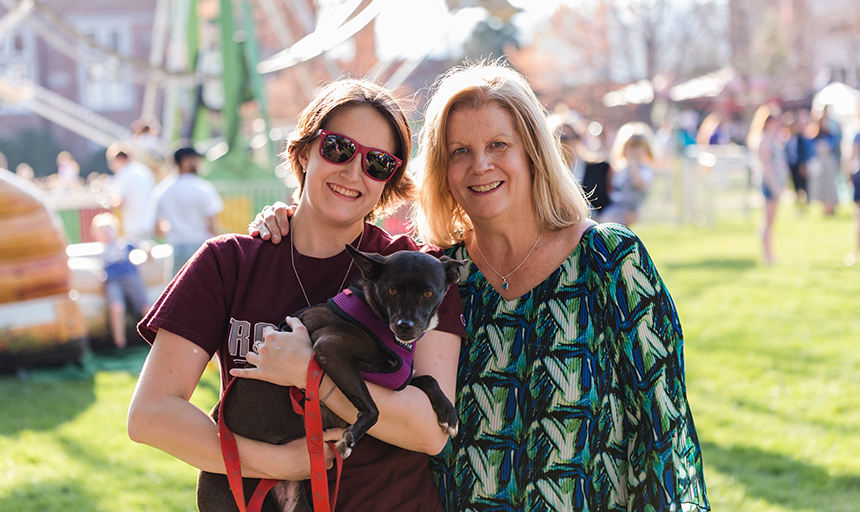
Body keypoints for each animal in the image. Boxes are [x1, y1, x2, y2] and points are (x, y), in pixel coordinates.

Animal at [197, 246, 464, 510]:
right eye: (392, 290)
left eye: (428, 293)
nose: (405, 326)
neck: (374, 316)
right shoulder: (330, 349)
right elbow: (374, 410)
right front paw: (351, 437)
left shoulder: (397, 380)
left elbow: (428, 379)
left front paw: (448, 415)